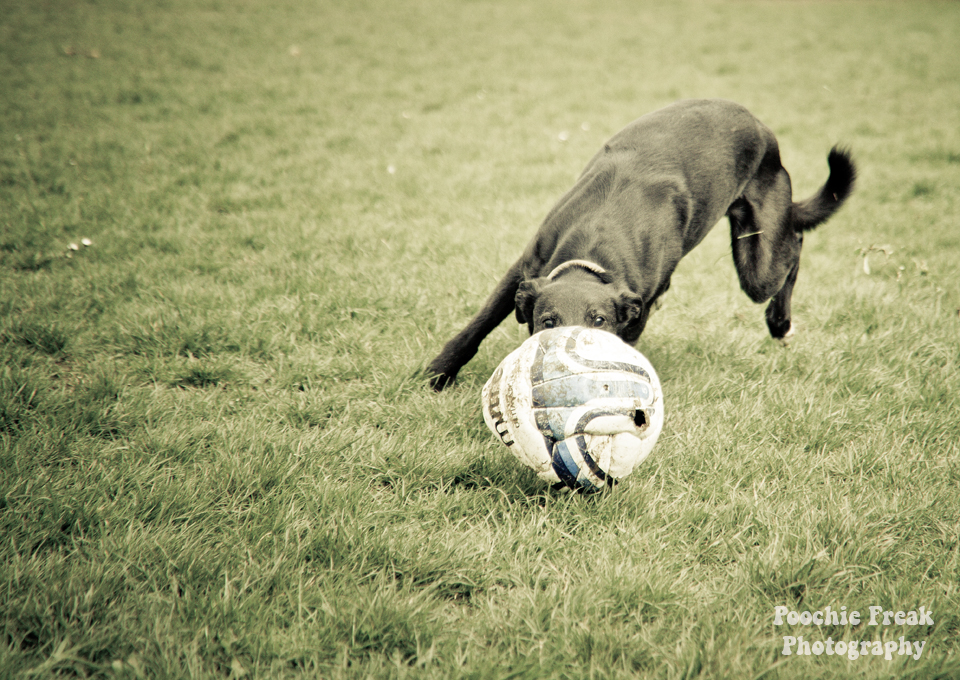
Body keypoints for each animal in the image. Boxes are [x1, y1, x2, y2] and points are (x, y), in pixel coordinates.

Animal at [428, 98, 856, 390]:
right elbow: (480, 323)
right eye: (547, 322)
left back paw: (780, 322)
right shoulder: (526, 267)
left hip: (757, 260)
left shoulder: (641, 306)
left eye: (599, 321)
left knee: (794, 244)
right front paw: (440, 371)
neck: (594, 247)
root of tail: (763, 128)